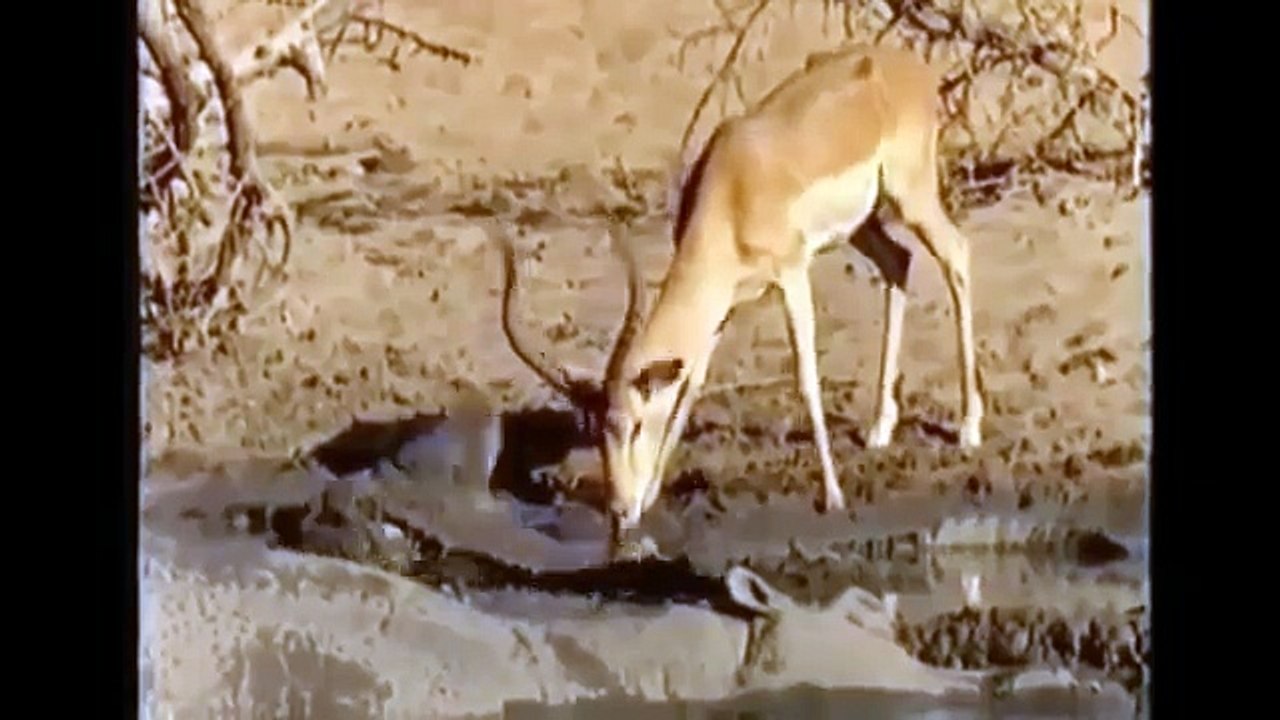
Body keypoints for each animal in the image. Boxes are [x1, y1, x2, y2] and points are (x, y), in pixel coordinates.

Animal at [500, 44, 984, 535]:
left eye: (634, 425)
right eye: (596, 433)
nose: (619, 509)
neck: (732, 187)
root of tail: (910, 66)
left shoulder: (792, 272)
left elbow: (806, 378)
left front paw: (832, 496)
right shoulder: (721, 302)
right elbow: (691, 384)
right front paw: (652, 496)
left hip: (911, 198)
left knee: (958, 254)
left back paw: (968, 428)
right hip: (863, 224)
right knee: (898, 263)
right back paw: (880, 429)